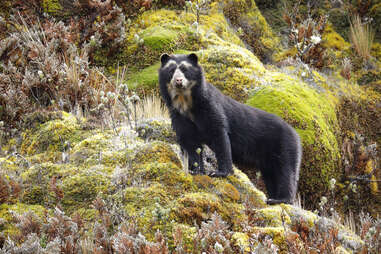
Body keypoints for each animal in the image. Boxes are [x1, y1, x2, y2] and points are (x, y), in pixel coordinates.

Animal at [157, 53, 300, 204]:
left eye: (185, 70)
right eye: (171, 71)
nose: (178, 81)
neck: (186, 103)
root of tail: (296, 133)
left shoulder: (210, 107)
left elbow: (219, 136)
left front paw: (219, 173)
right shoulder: (178, 116)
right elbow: (189, 142)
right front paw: (195, 171)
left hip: (285, 146)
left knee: (285, 172)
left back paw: (281, 200)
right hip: (268, 159)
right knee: (272, 176)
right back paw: (273, 197)